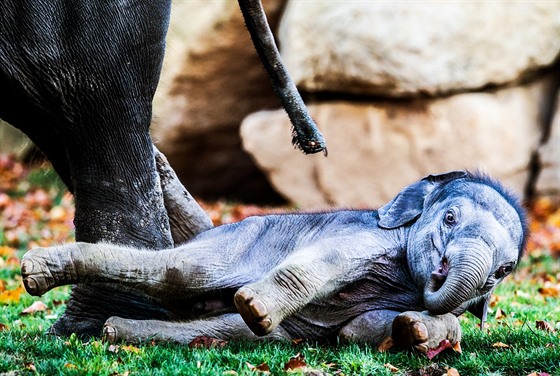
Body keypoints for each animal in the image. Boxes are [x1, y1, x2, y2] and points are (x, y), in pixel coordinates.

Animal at [20, 170, 524, 352]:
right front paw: (255, 305)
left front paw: (417, 331)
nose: (440, 271)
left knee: (237, 331)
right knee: (179, 272)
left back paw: (114, 331)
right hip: (241, 237)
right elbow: (328, 260)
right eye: (450, 217)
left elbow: (357, 330)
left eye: (502, 272)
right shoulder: (369, 236)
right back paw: (35, 272)